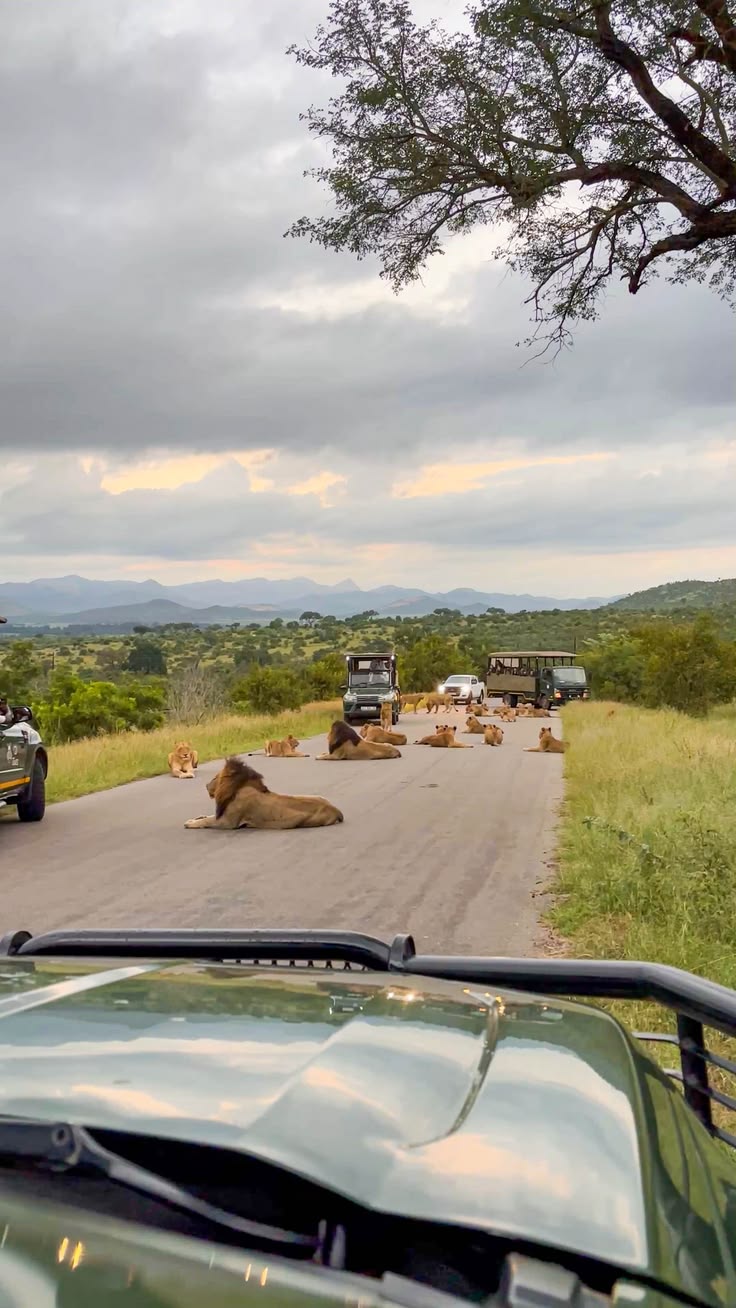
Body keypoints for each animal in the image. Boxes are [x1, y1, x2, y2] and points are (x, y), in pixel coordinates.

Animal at [184, 758, 343, 830]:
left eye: (215, 778)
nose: (206, 785)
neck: (236, 789)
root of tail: (337, 810)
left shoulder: (228, 822)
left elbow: (206, 821)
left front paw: (190, 823)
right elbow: (206, 817)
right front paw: (196, 818)